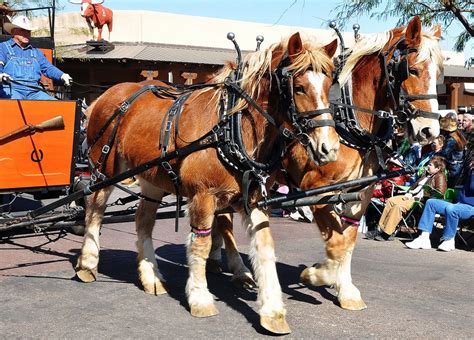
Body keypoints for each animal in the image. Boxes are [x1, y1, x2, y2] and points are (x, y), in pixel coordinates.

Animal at [76, 33, 338, 334]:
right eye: (299, 87)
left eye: (329, 84)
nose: (329, 148)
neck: (230, 128)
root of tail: (104, 95)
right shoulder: (203, 196)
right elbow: (199, 246)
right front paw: (200, 298)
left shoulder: (253, 199)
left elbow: (264, 247)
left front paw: (272, 310)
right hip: (104, 171)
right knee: (94, 211)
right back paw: (87, 263)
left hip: (153, 178)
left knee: (143, 220)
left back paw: (151, 275)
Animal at [211, 16, 444, 310]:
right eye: (411, 70)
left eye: (439, 73)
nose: (429, 131)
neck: (348, 119)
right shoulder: (317, 187)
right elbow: (336, 242)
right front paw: (316, 274)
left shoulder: (361, 191)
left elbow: (348, 239)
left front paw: (345, 290)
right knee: (225, 218)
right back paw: (239, 269)